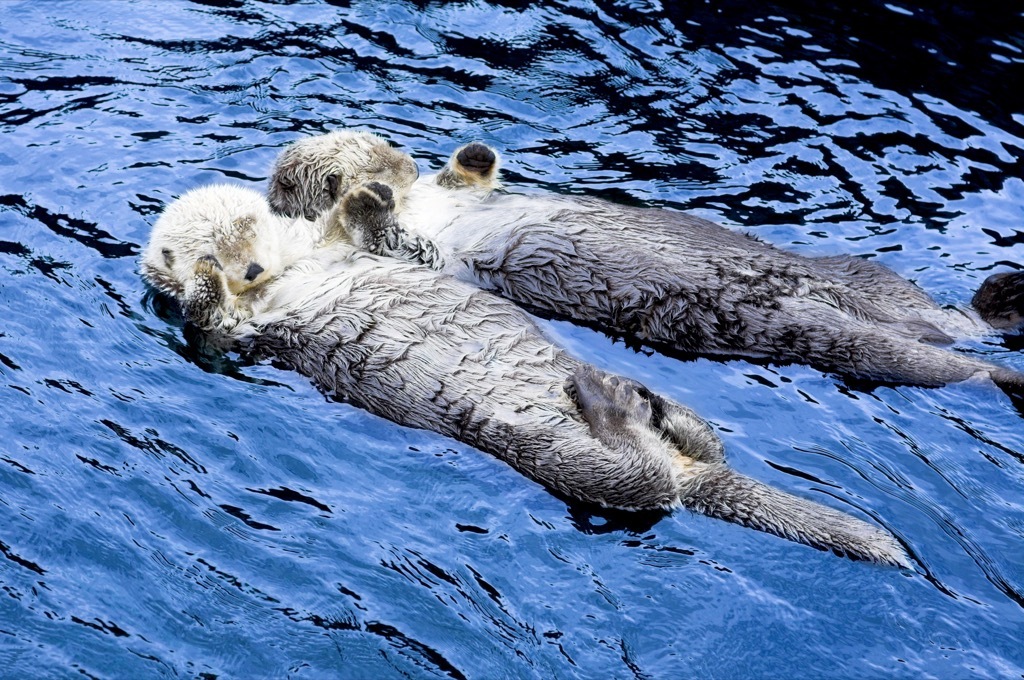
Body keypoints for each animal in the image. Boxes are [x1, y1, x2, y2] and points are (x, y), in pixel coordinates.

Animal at [140, 178, 909, 565]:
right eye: (218, 245)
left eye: (251, 231)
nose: (246, 266)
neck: (289, 270)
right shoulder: (237, 331)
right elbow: (208, 322)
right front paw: (201, 278)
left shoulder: (340, 249)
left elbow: (359, 230)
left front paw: (363, 197)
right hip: (560, 458)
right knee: (642, 484)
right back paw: (609, 400)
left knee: (698, 448)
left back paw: (649, 403)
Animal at [266, 131, 1024, 393]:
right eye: (370, 155)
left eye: (387, 144)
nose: (400, 164)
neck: (424, 204)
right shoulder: (415, 252)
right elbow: (392, 237)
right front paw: (367, 199)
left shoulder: (454, 195)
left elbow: (469, 178)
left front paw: (473, 154)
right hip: (823, 334)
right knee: (935, 362)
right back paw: (1003, 370)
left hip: (872, 282)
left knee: (947, 319)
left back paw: (1002, 300)